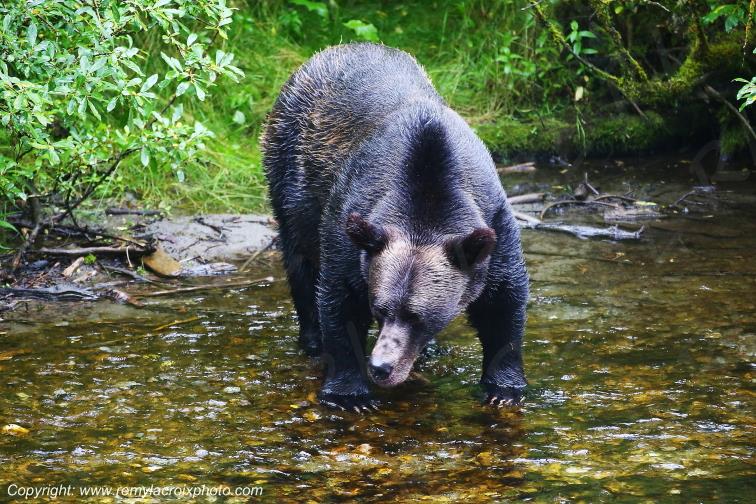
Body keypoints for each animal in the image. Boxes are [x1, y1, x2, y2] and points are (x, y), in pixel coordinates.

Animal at [261, 43, 528, 411]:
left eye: (418, 316)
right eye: (380, 308)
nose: (381, 366)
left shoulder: (493, 223)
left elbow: (502, 302)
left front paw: (503, 388)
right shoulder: (349, 227)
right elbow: (340, 300)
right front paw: (350, 393)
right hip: (290, 170)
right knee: (301, 259)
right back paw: (312, 339)